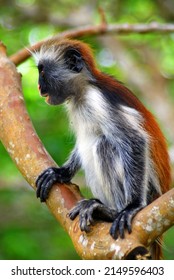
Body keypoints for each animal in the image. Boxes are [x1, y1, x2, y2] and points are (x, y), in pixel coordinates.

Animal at [34, 38, 171, 260]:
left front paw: (132, 207)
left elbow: (135, 140)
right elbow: (81, 143)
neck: (83, 90)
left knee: (104, 145)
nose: (38, 86)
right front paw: (61, 172)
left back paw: (110, 212)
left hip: (150, 191)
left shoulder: (97, 100)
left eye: (42, 71)